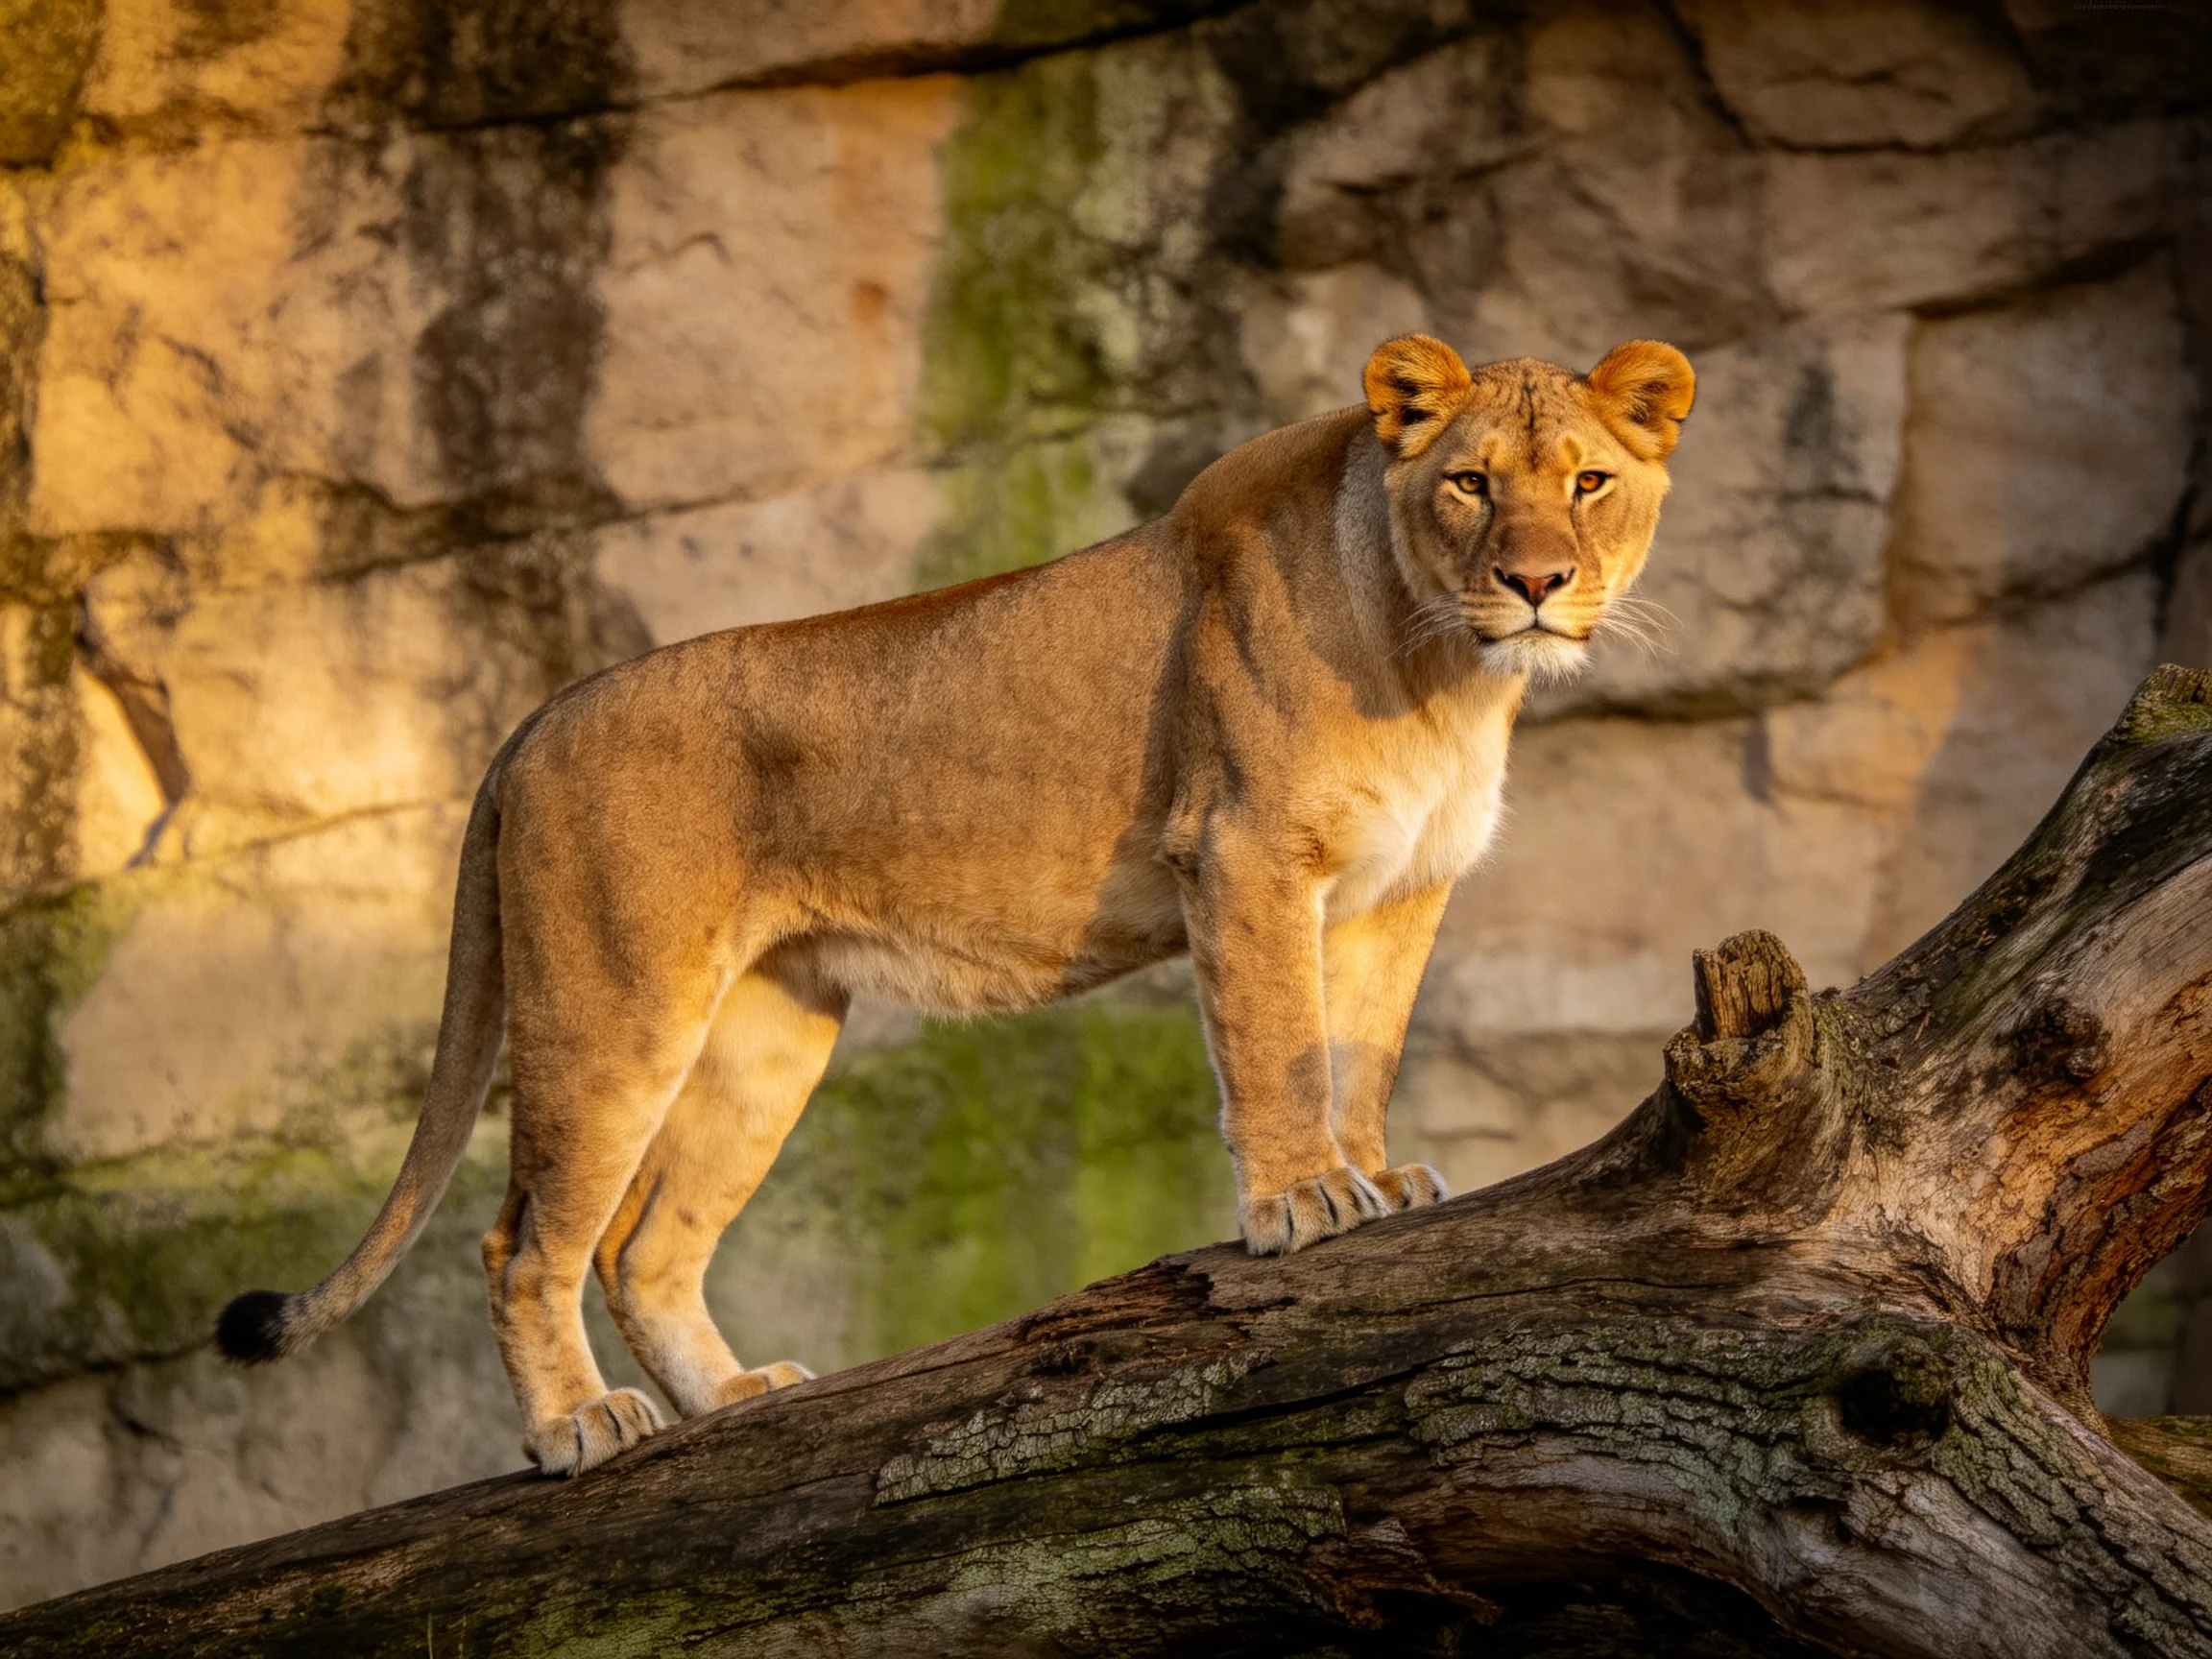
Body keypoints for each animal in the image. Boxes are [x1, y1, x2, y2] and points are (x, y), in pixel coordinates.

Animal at [217, 333, 1695, 1475]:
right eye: (1469, 484)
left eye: (1589, 482)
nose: (1537, 583)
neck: (1440, 663)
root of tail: (536, 719)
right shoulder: (1243, 854)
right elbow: (1278, 1046)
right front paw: (1305, 1201)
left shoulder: (1401, 891)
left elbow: (1362, 1049)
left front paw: (1376, 1176)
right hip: (611, 1001)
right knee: (523, 1242)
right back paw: (581, 1429)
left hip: (772, 1028)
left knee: (645, 1251)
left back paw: (733, 1400)